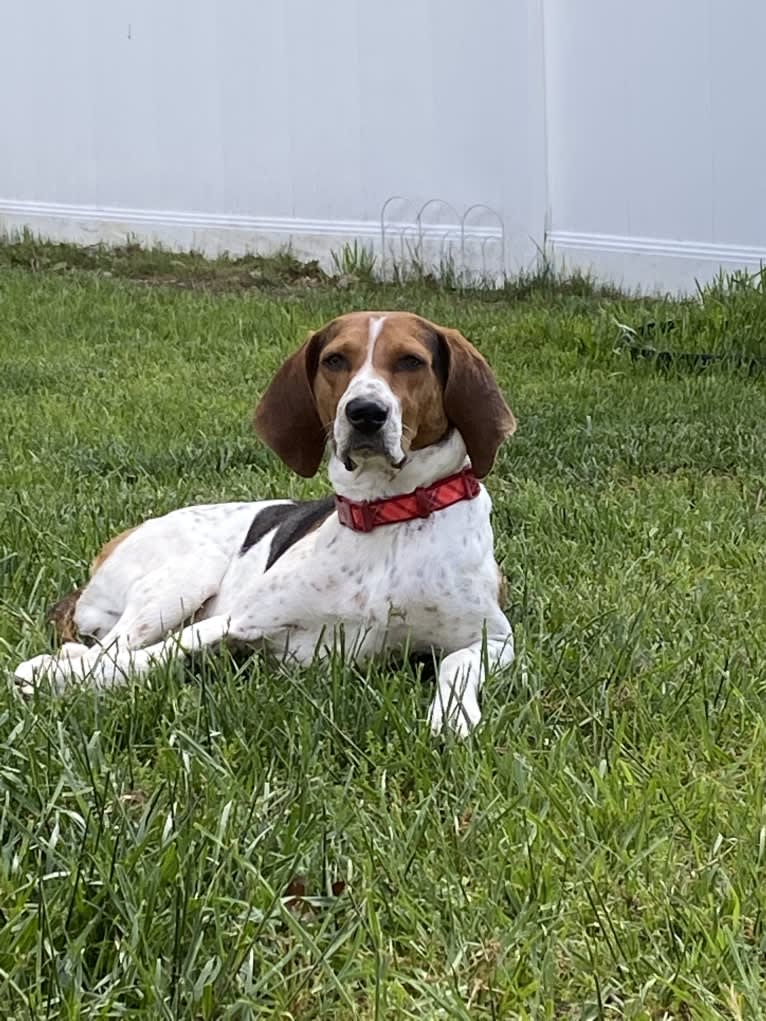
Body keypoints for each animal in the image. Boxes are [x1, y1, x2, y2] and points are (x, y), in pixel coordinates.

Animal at [13, 310, 516, 735]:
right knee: (114, 645)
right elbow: (146, 657)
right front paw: (58, 678)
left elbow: (455, 665)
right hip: (189, 573)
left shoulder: (494, 640)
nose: (365, 413)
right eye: (335, 360)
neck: (386, 514)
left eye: (411, 361)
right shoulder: (237, 621)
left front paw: (452, 717)